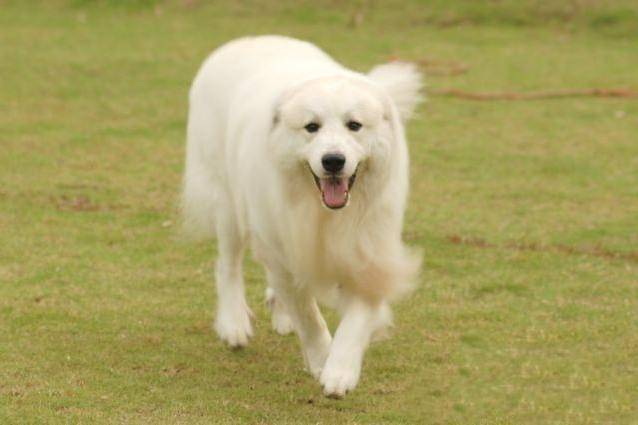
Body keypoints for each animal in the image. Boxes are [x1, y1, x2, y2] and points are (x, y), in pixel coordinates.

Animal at [182, 34, 424, 396]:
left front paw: (341, 370)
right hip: (230, 205)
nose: (333, 160)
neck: (323, 212)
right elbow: (308, 315)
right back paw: (233, 323)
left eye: (354, 125)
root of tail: (245, 41)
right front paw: (322, 358)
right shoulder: (282, 248)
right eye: (312, 127)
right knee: (228, 265)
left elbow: (356, 318)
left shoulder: (369, 254)